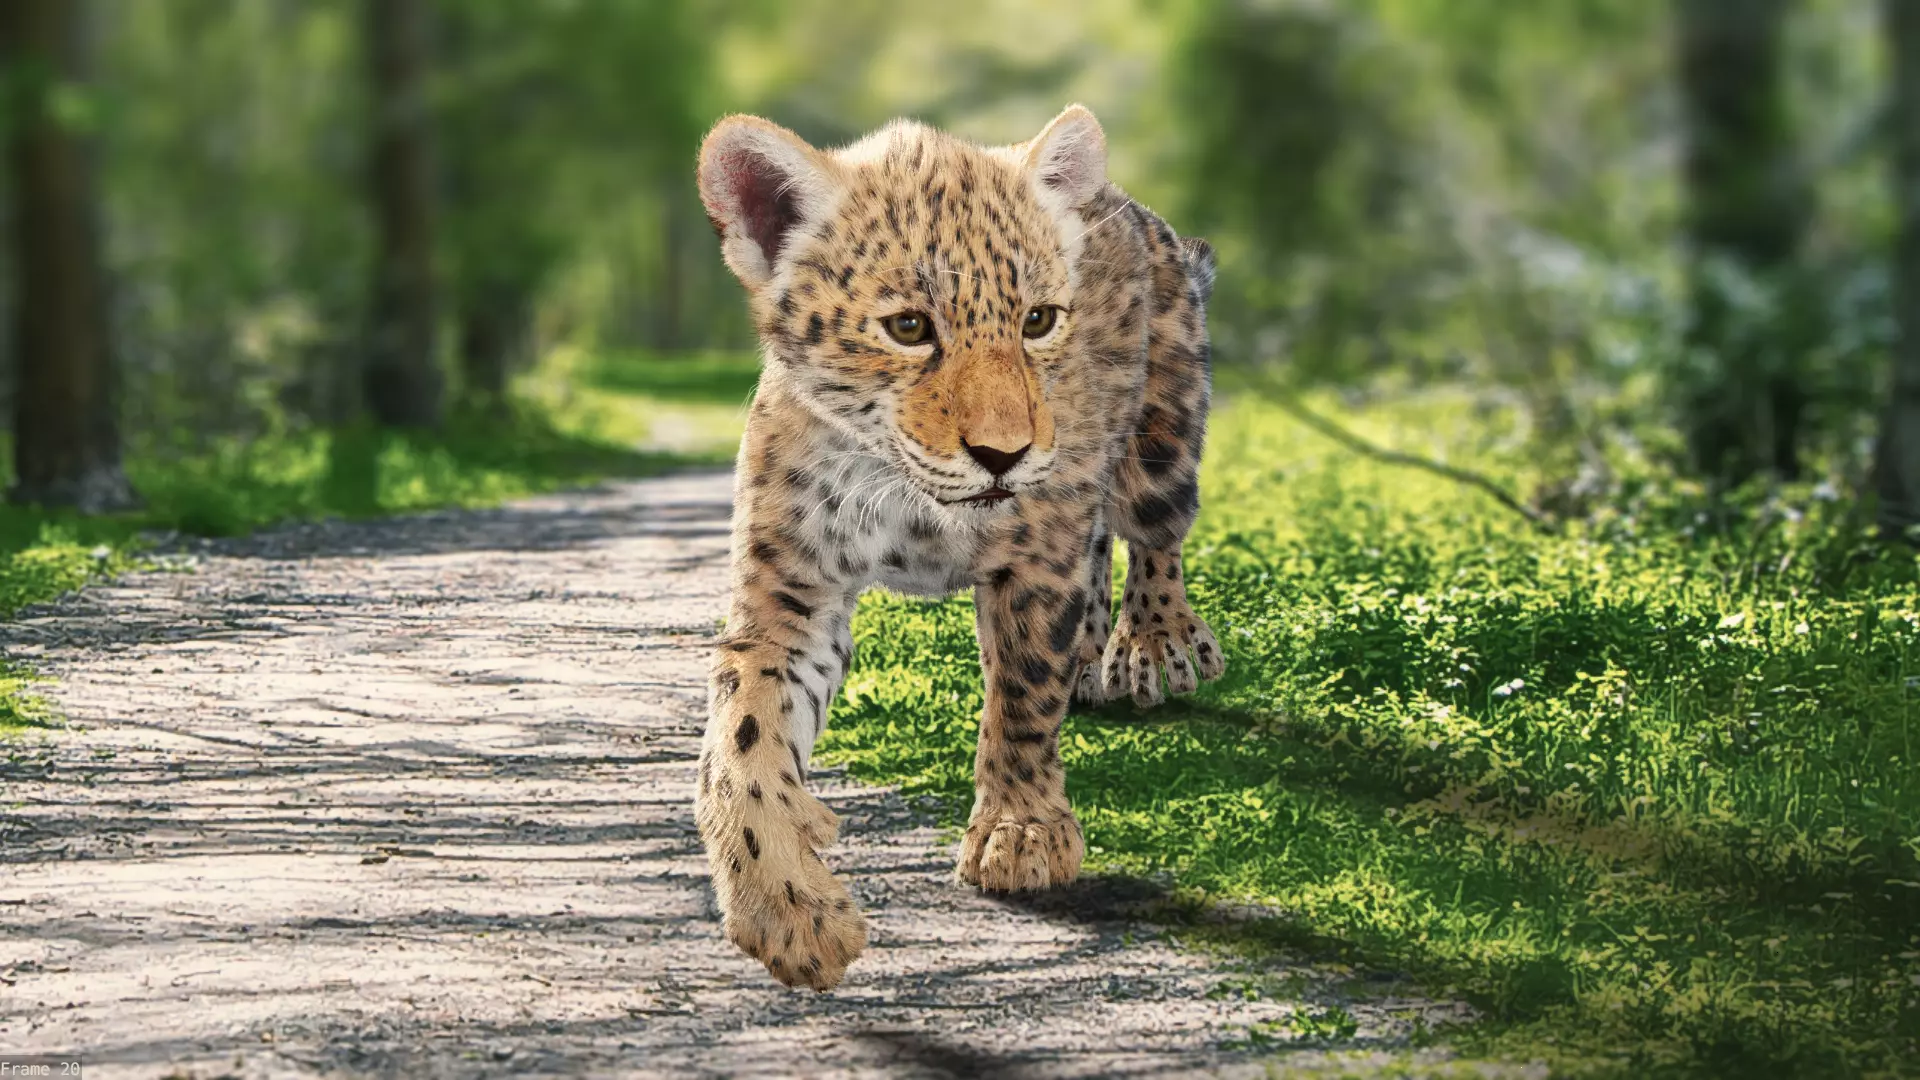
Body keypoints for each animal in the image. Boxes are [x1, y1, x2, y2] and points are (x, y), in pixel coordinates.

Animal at [691, 104, 1226, 991]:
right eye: (909, 327)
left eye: (1039, 320)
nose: (1005, 455)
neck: (904, 492)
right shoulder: (789, 596)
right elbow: (743, 743)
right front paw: (789, 909)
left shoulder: (1035, 563)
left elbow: (1021, 697)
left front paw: (1022, 832)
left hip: (1162, 442)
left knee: (1152, 535)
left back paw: (1154, 644)